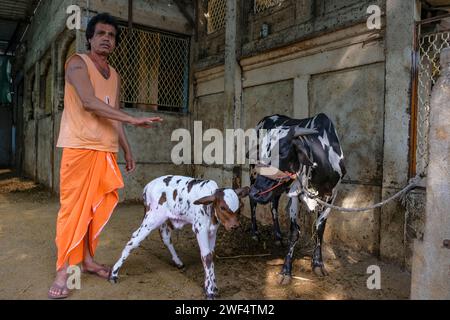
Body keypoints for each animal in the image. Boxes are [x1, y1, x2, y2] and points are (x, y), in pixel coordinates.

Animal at [109, 174, 250, 298]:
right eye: (222, 207)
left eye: (239, 208)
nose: (235, 226)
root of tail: (147, 186)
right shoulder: (200, 229)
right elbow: (207, 257)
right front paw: (210, 291)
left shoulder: (212, 230)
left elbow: (211, 254)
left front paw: (212, 287)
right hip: (152, 218)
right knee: (134, 240)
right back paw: (113, 273)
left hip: (163, 220)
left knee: (165, 238)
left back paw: (178, 262)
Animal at [248, 113, 346, 282]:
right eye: (262, 153)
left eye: (282, 152)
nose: (256, 192)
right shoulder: (294, 195)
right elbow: (295, 232)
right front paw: (286, 271)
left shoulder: (331, 196)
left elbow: (319, 228)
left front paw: (318, 264)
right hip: (254, 174)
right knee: (253, 203)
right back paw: (255, 233)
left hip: (277, 188)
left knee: (273, 204)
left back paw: (278, 236)